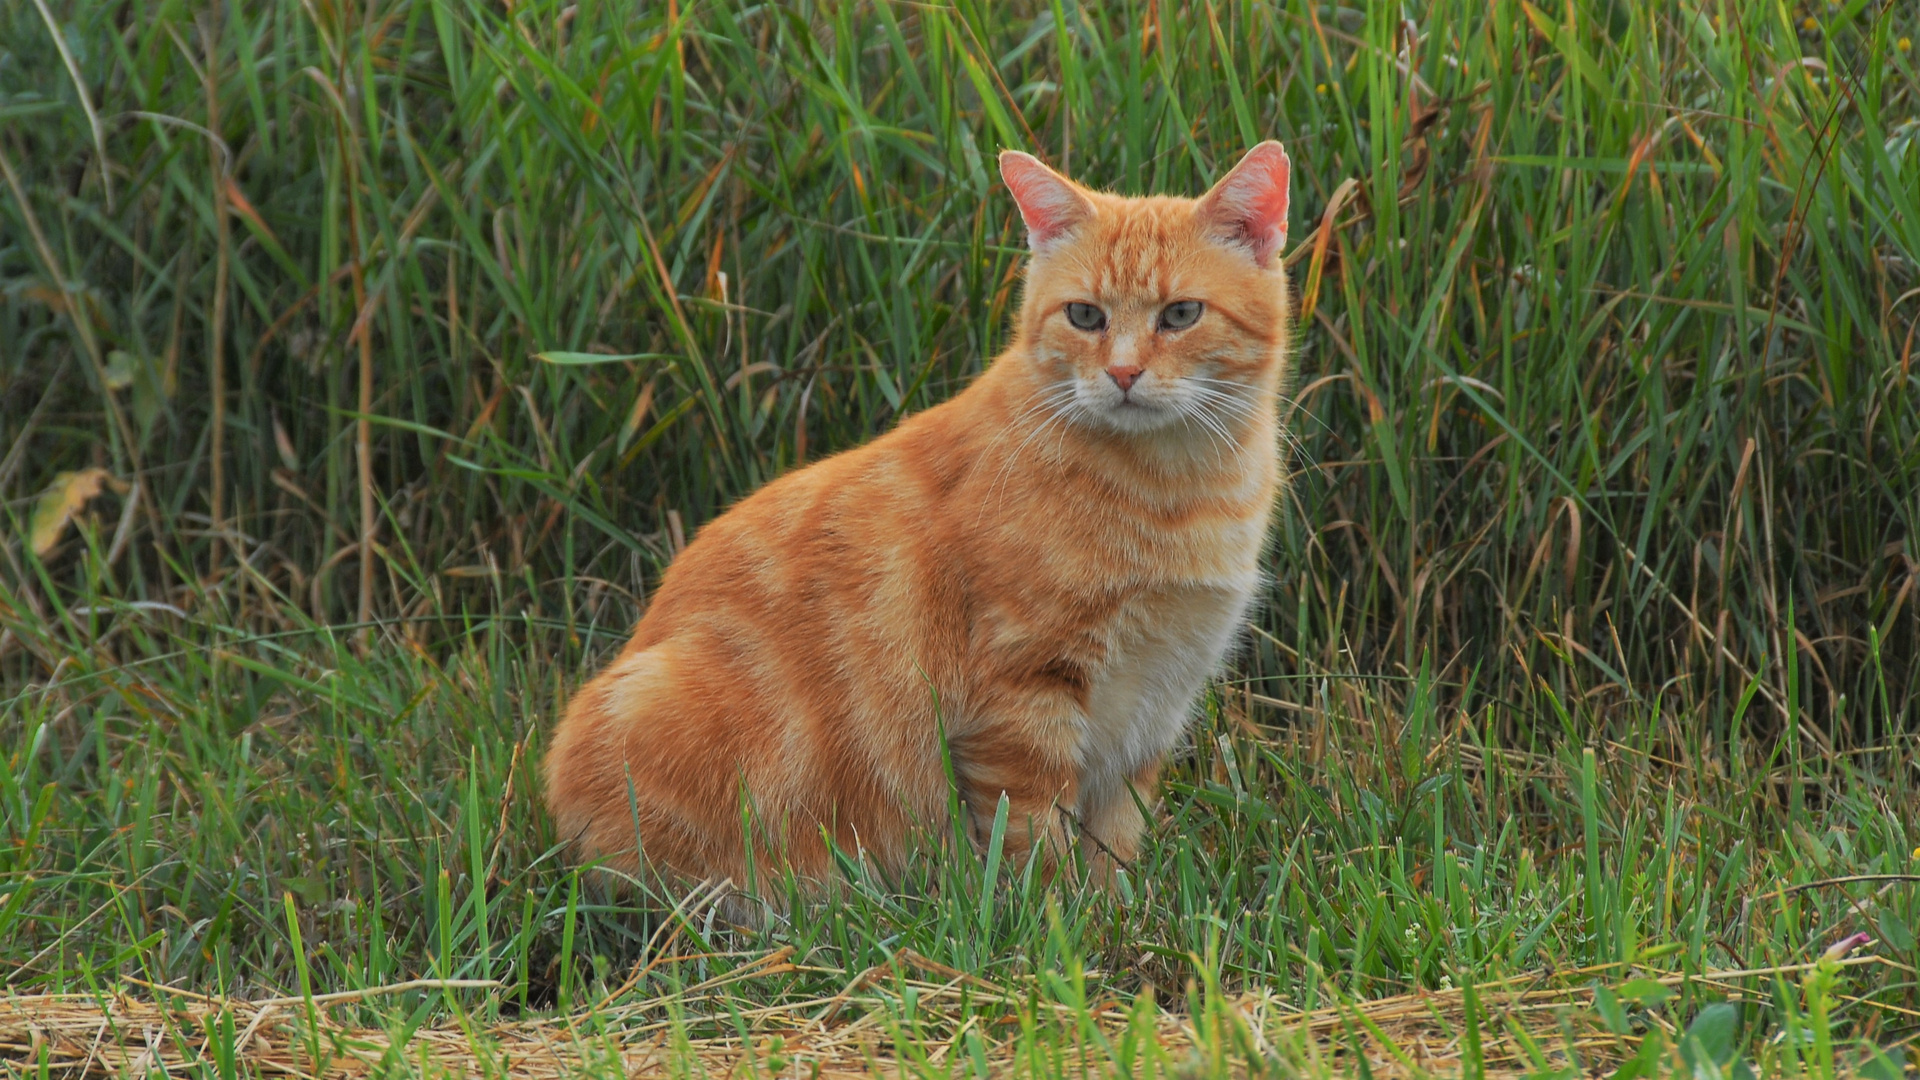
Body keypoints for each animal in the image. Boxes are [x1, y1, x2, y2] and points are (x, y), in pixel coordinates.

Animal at [541, 143, 1290, 891]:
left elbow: (1115, 842)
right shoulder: (1024, 692)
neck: (1178, 489)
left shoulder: (1154, 701)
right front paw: (1057, 911)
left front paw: (1114, 906)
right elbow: (1038, 842)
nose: (1125, 374)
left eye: (1181, 314)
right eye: (1084, 316)